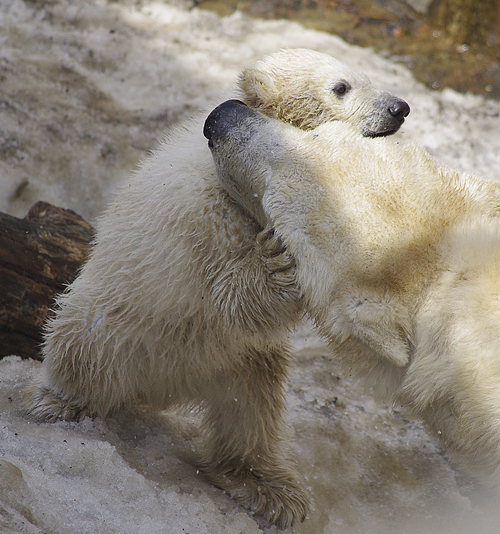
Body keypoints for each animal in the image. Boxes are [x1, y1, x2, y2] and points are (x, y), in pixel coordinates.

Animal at [21, 51, 410, 532]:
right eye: (341, 87)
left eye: (365, 74)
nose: (399, 108)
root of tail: (160, 388)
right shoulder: (213, 210)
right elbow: (229, 293)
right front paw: (280, 262)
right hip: (115, 324)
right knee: (81, 347)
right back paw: (59, 402)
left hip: (235, 359)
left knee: (252, 410)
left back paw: (270, 490)